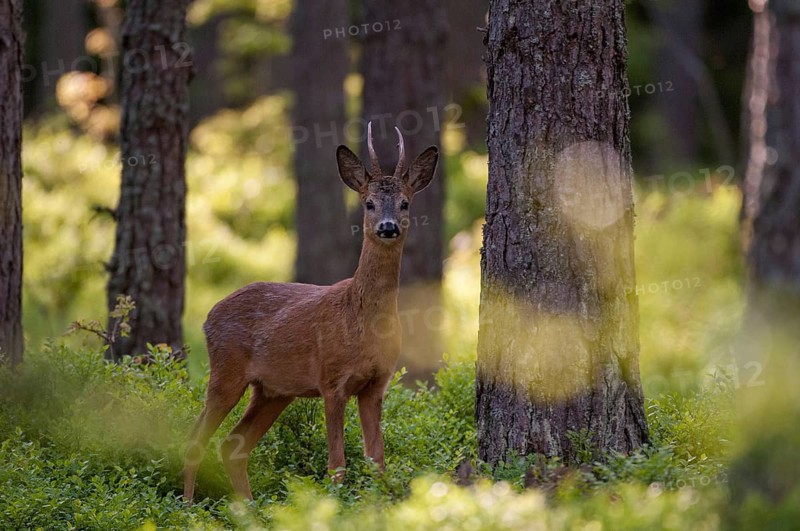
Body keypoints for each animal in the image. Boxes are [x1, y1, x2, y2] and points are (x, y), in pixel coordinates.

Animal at [182, 122, 439, 502]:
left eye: (405, 203)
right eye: (369, 203)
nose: (388, 227)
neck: (362, 320)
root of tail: (208, 317)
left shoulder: (376, 384)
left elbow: (376, 461)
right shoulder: (331, 380)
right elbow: (337, 464)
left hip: (273, 391)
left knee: (233, 445)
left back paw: (247, 508)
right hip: (226, 372)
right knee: (195, 439)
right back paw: (188, 506)